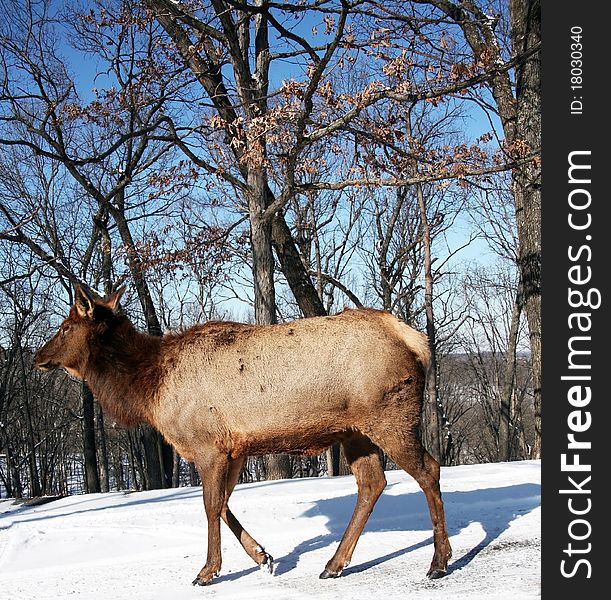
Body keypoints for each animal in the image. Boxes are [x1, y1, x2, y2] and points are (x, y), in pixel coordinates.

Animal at [34, 286, 454, 584]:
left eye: (65, 327)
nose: (38, 357)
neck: (149, 389)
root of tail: (417, 340)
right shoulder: (234, 449)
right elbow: (222, 504)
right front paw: (264, 557)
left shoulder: (207, 445)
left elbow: (210, 506)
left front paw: (208, 571)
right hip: (354, 431)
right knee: (372, 482)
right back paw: (334, 563)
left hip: (390, 417)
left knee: (428, 469)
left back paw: (439, 561)